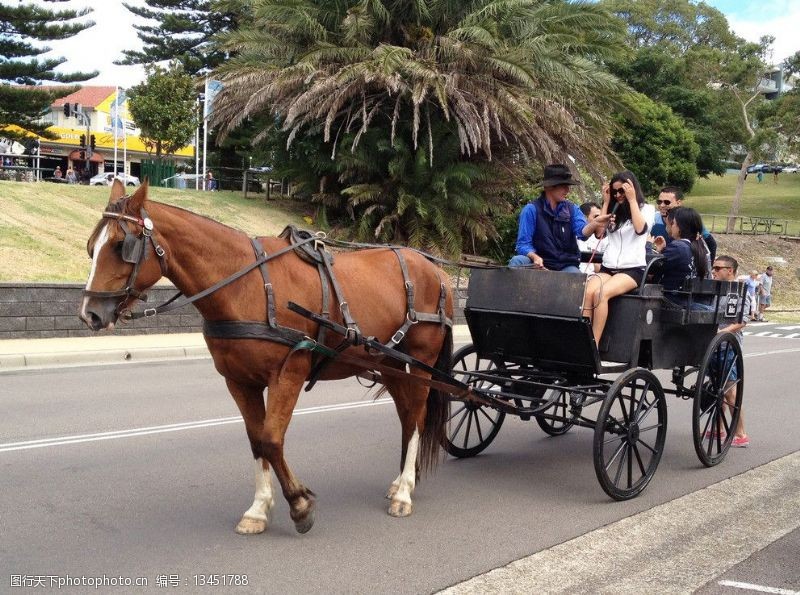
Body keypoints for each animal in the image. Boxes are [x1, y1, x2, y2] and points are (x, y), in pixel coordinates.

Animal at [78, 182, 454, 536]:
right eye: (92, 246)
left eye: (121, 246)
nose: (90, 314)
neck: (246, 285)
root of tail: (436, 271)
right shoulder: (239, 381)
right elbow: (257, 440)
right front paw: (259, 510)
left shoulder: (289, 372)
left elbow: (272, 439)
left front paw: (300, 504)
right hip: (392, 365)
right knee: (408, 417)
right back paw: (402, 480)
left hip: (420, 359)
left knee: (416, 418)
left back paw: (404, 491)